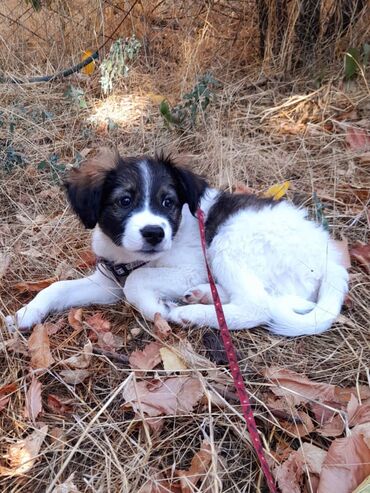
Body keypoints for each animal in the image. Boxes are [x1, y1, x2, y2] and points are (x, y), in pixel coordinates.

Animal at [5, 148, 346, 336]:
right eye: (124, 201)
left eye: (168, 202)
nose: (154, 233)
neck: (134, 257)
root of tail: (331, 257)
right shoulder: (107, 281)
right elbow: (57, 288)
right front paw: (25, 314)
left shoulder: (191, 266)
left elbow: (138, 281)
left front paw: (157, 308)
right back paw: (202, 296)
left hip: (228, 242)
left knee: (259, 305)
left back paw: (192, 313)